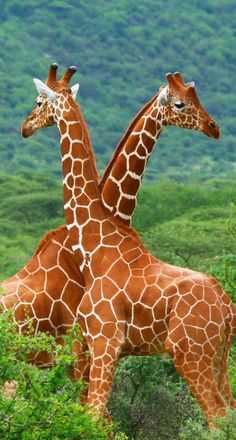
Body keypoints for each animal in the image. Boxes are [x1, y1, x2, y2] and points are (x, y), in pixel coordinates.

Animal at [20, 63, 236, 424]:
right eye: (181, 103)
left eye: (38, 102)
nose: (25, 127)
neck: (96, 244)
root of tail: (228, 308)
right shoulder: (95, 348)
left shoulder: (103, 341)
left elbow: (94, 417)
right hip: (218, 358)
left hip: (190, 353)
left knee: (217, 416)